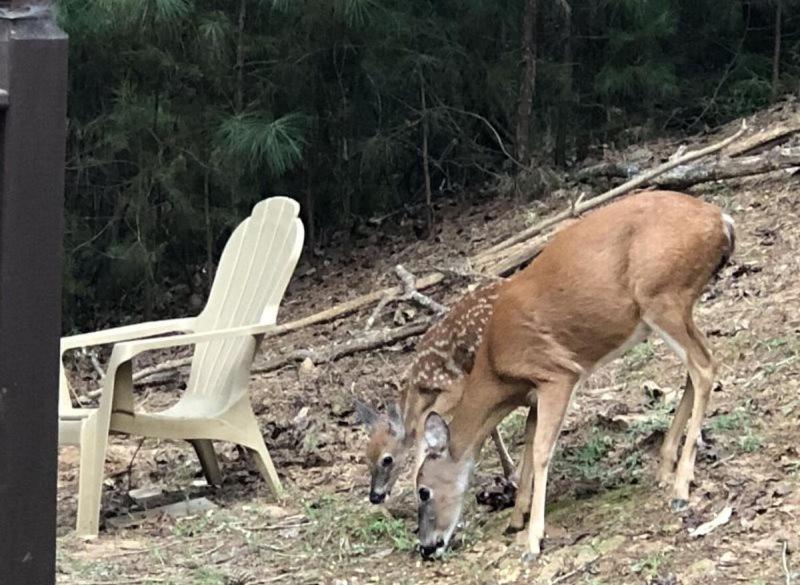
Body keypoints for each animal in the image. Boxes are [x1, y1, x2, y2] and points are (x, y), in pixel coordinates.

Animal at [354, 278, 520, 502]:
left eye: (387, 459)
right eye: (366, 458)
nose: (375, 496)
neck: (420, 388)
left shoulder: (456, 386)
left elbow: (423, 426)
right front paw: (509, 473)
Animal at [416, 189, 736, 560]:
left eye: (423, 491)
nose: (426, 547)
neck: (496, 368)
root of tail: (721, 220)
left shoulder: (556, 372)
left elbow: (540, 450)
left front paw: (534, 540)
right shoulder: (533, 392)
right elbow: (528, 444)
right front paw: (516, 518)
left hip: (662, 295)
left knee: (703, 367)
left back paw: (682, 485)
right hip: (677, 302)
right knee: (698, 366)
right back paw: (665, 466)